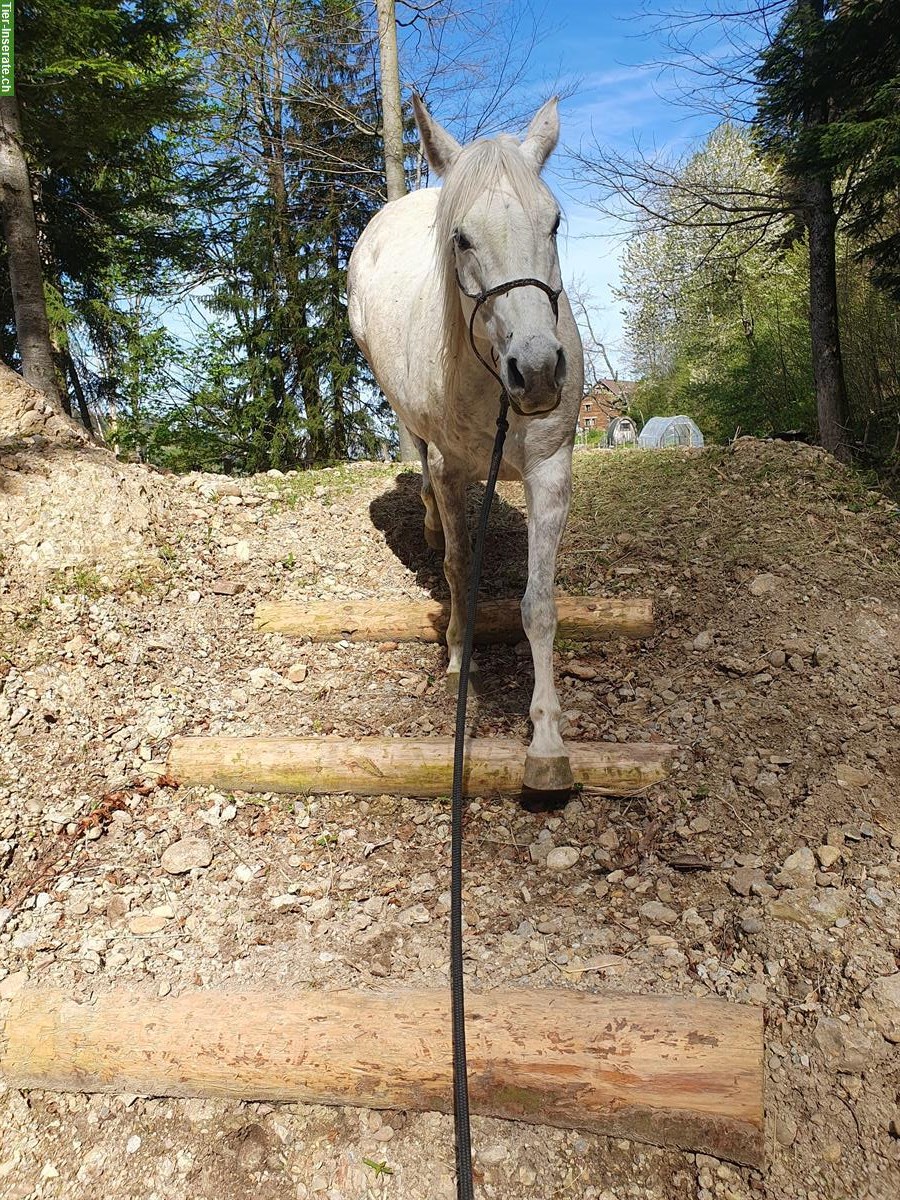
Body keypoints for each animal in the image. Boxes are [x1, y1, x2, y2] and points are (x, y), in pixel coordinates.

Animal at [345, 98, 585, 792]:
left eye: (553, 222)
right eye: (462, 238)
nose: (538, 371)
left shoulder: (550, 470)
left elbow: (539, 605)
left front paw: (548, 743)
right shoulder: (455, 471)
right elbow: (456, 566)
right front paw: (457, 654)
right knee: (418, 454)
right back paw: (427, 517)